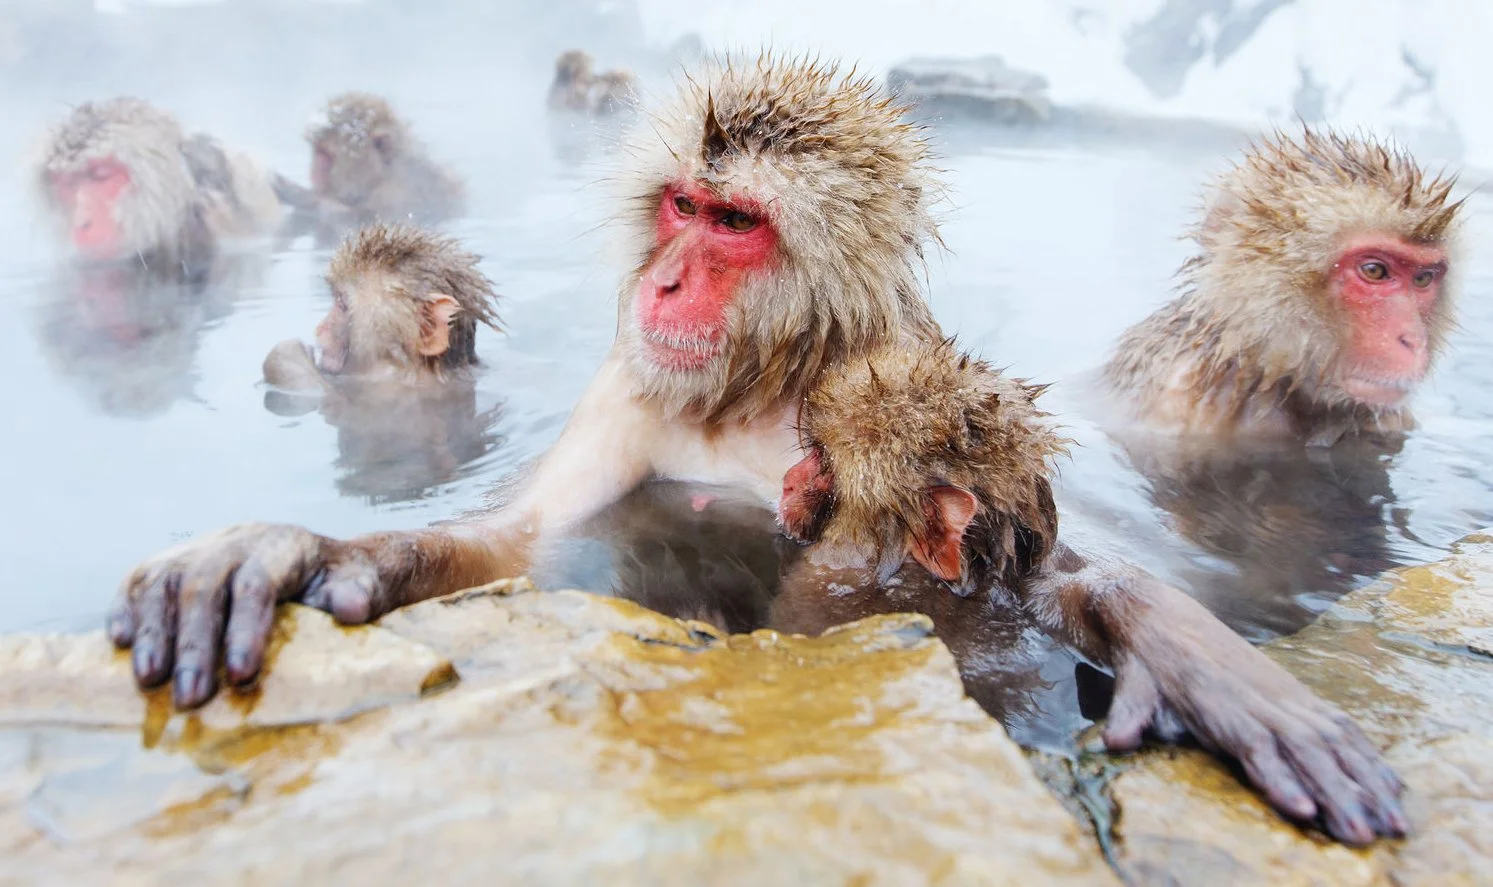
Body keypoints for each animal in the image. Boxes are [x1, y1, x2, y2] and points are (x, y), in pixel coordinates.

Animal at [272, 92, 465, 231]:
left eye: (325, 154)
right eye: (317, 151)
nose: (313, 173)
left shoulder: (397, 197)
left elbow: (353, 218)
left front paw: (298, 195)